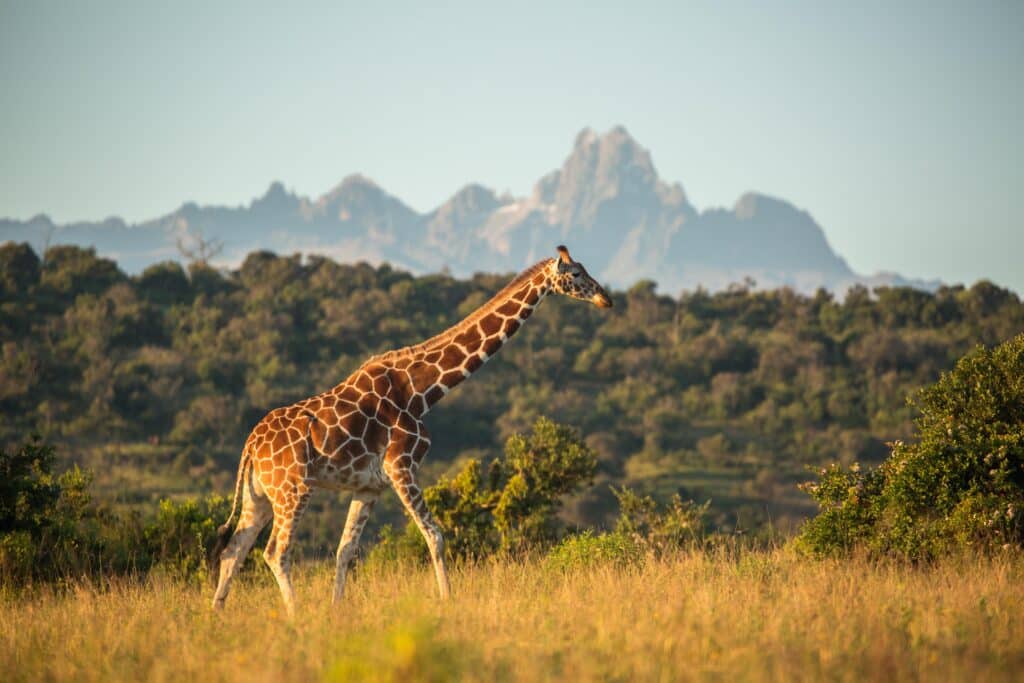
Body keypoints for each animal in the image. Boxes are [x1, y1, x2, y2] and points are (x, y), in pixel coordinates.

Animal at [205, 244, 606, 614]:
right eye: (576, 274)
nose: (607, 298)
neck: (420, 391)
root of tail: (250, 445)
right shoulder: (402, 466)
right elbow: (436, 535)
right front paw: (447, 600)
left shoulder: (368, 487)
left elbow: (345, 550)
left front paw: (337, 611)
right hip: (294, 488)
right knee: (275, 551)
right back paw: (295, 614)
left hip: (259, 495)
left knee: (234, 549)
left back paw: (217, 615)